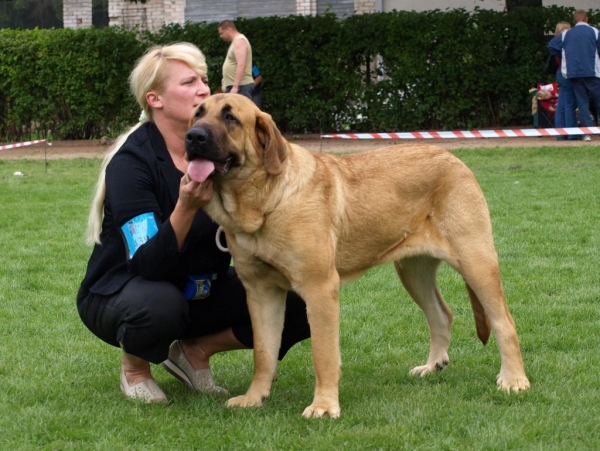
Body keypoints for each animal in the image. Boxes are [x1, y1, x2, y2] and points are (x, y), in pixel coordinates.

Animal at [186, 94, 528, 420]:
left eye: (230, 117)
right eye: (198, 113)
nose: (192, 136)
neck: (265, 201)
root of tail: (455, 160)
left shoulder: (320, 289)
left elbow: (323, 354)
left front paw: (324, 406)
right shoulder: (261, 293)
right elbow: (263, 352)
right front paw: (254, 398)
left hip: (476, 261)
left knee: (504, 321)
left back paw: (514, 380)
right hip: (412, 271)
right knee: (441, 315)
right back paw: (432, 366)